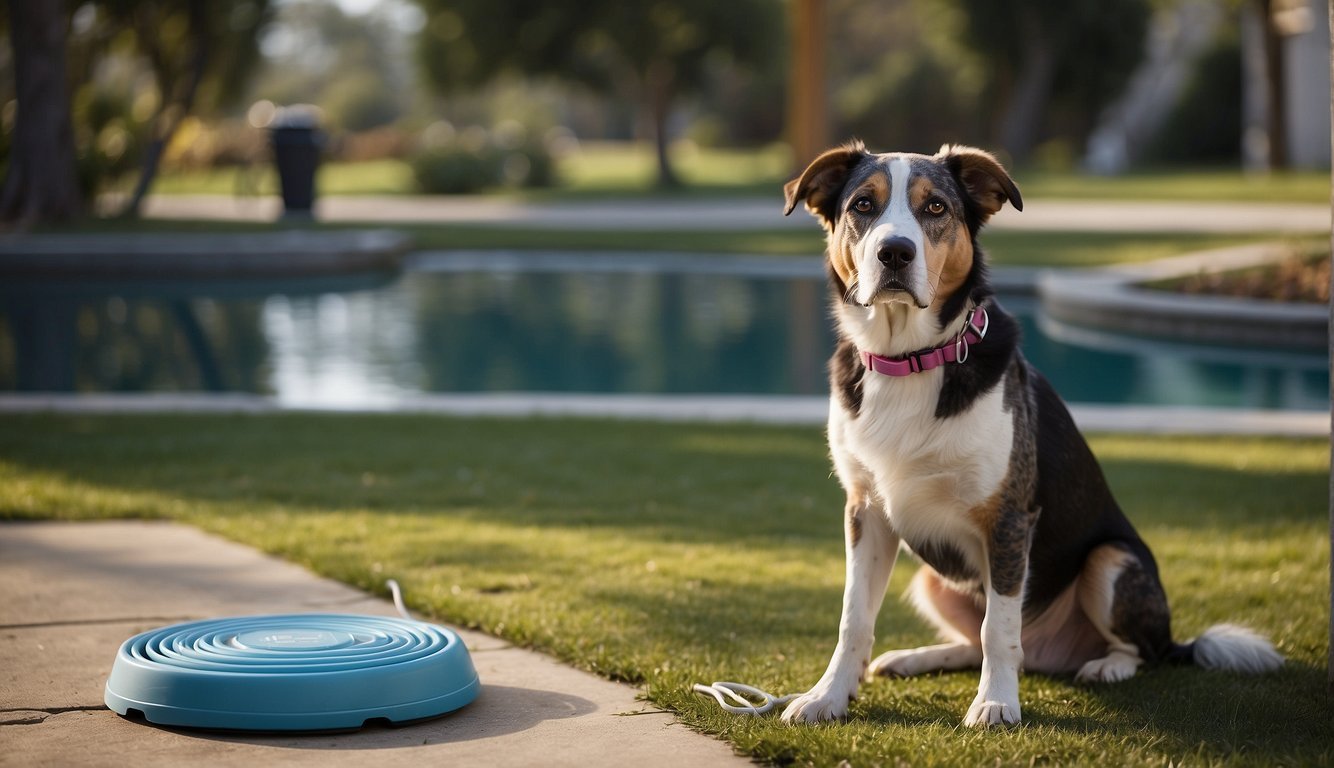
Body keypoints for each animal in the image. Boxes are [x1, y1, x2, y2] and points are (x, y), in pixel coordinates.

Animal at [779, 142, 1280, 725]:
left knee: (1140, 650)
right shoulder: (866, 511)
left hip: (1112, 560)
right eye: (863, 204)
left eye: (935, 208)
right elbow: (853, 617)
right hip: (931, 577)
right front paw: (828, 696)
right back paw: (918, 657)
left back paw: (1106, 665)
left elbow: (998, 627)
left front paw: (996, 702)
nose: (895, 253)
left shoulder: (1009, 518)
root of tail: (1049, 656)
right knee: (972, 640)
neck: (911, 360)